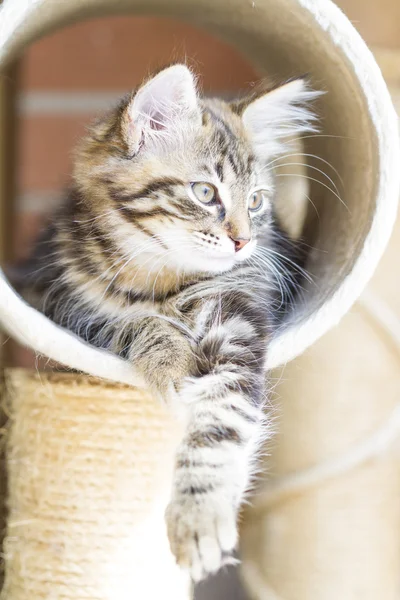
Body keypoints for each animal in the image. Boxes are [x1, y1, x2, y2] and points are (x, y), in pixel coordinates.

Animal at [18, 64, 318, 580]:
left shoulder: (238, 318)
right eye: (205, 193)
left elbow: (221, 420)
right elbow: (134, 324)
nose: (244, 242)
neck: (156, 275)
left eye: (256, 202)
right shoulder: (60, 303)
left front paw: (200, 516)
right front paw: (171, 362)